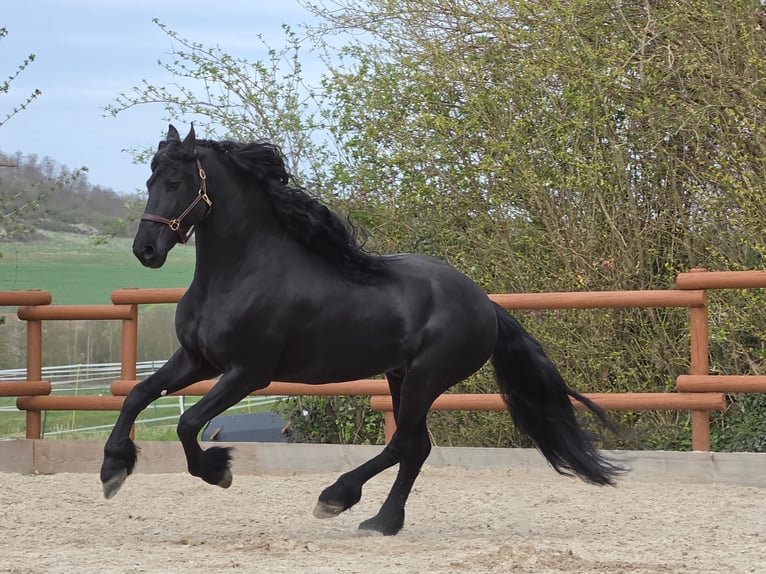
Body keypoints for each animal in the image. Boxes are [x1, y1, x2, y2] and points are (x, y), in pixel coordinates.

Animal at [101, 124, 625, 536]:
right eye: (149, 179)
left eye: (175, 180)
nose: (146, 249)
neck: (240, 273)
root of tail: (486, 304)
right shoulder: (196, 360)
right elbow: (137, 396)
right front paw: (112, 469)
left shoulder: (247, 373)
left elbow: (188, 423)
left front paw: (219, 470)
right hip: (399, 375)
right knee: (415, 447)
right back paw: (380, 520)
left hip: (426, 378)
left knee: (404, 444)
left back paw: (340, 499)